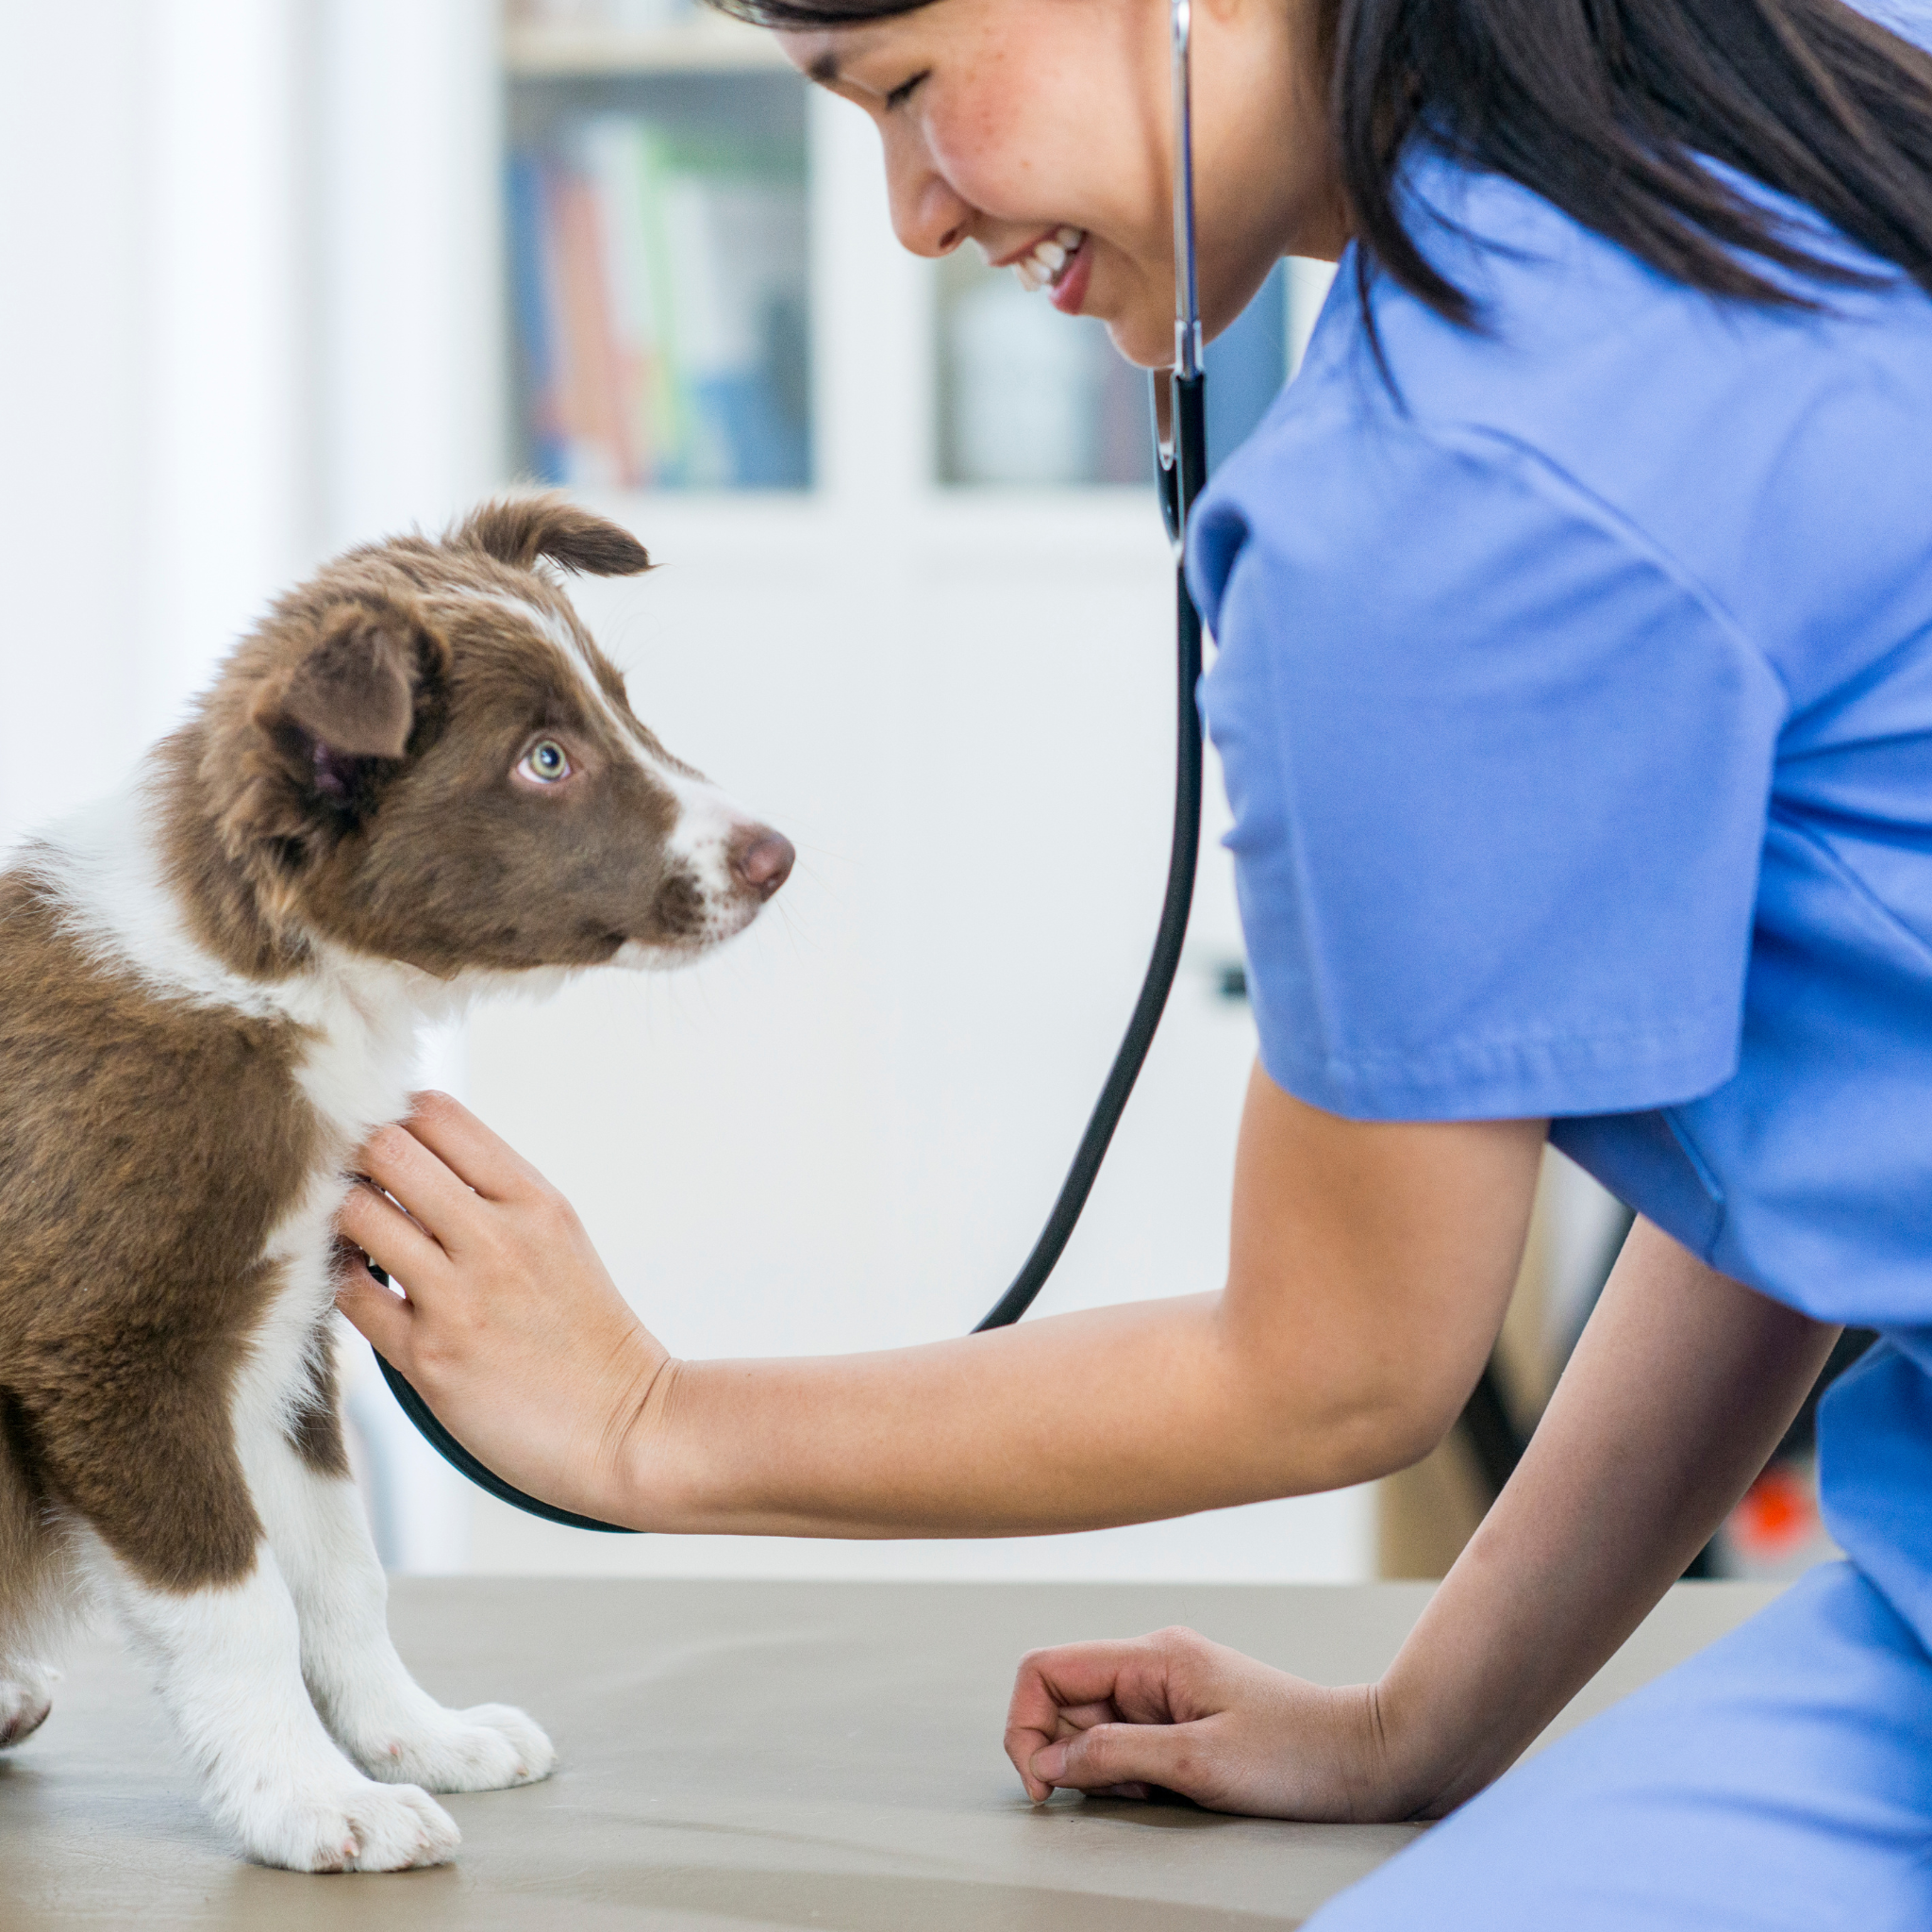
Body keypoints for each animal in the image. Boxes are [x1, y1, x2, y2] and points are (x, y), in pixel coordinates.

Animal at [0, 498, 791, 1870]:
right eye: (544, 760)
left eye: (621, 706)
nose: (778, 855)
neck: (272, 971)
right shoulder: (110, 1351)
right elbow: (236, 1600)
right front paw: (309, 1800)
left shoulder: (284, 1332)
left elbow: (337, 1563)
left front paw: (414, 1736)